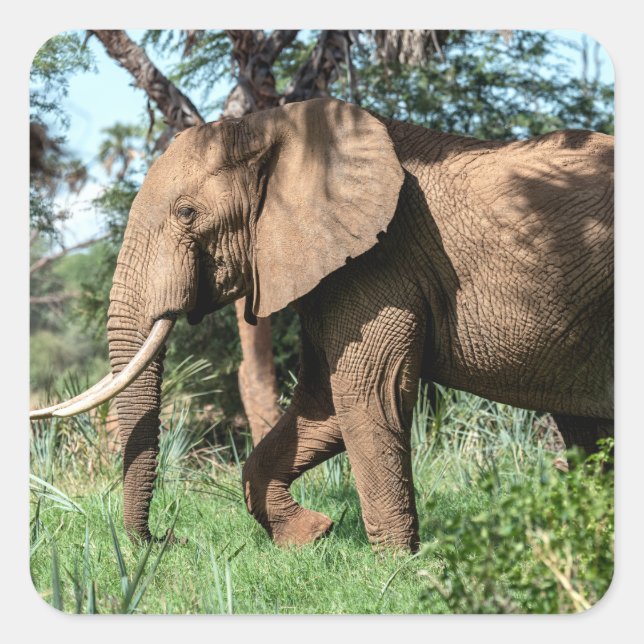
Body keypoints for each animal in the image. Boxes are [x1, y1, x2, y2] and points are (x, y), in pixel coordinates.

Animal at [31, 97, 614, 552]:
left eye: (187, 213)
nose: (170, 539)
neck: (271, 125)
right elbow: (324, 404)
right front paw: (311, 535)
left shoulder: (381, 260)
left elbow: (367, 393)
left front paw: (397, 570)